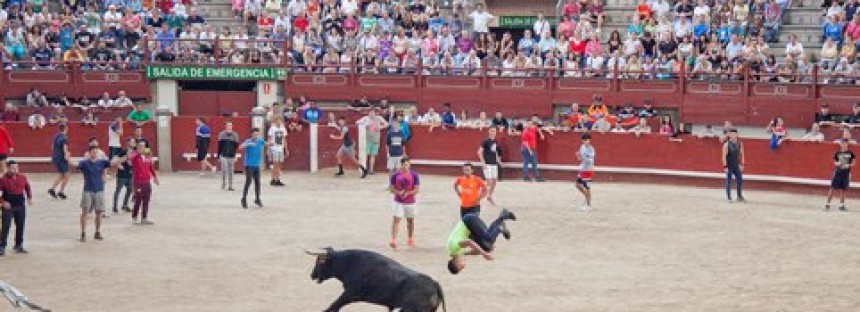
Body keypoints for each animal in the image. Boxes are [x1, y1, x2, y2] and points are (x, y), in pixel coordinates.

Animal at [308, 247, 446, 310]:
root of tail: (434, 283)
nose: (312, 275)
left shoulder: (350, 294)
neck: (348, 263)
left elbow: (334, 305)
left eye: (320, 263)